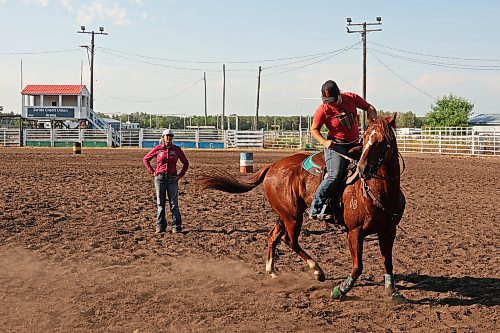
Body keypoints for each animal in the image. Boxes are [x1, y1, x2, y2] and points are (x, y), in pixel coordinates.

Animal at [198, 113, 406, 300]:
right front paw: (340, 290)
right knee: (290, 241)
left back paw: (272, 271)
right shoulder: (354, 231)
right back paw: (317, 271)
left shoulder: (389, 231)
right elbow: (358, 266)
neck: (380, 191)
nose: (362, 169)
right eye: (365, 139)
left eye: (382, 141)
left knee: (273, 236)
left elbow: (388, 262)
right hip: (293, 216)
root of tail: (273, 166)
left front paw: (393, 291)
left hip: (284, 214)